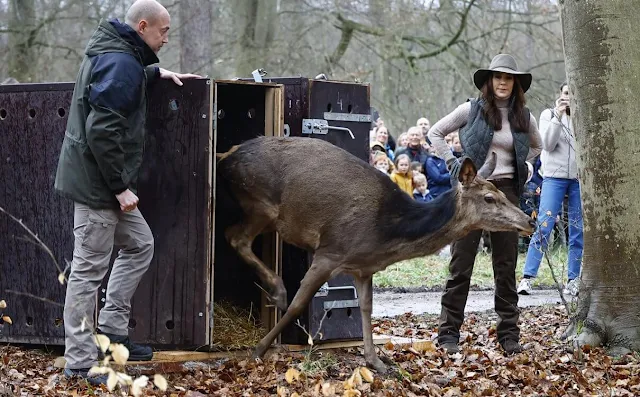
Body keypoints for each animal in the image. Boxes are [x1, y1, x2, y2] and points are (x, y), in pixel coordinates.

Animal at [215, 135, 536, 372]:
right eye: (489, 198)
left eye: (503, 193)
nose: (529, 220)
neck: (384, 235)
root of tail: (226, 155)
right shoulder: (330, 250)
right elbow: (297, 304)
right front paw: (258, 349)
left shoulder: (363, 267)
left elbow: (366, 308)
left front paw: (376, 362)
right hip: (261, 203)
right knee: (234, 236)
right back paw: (277, 290)